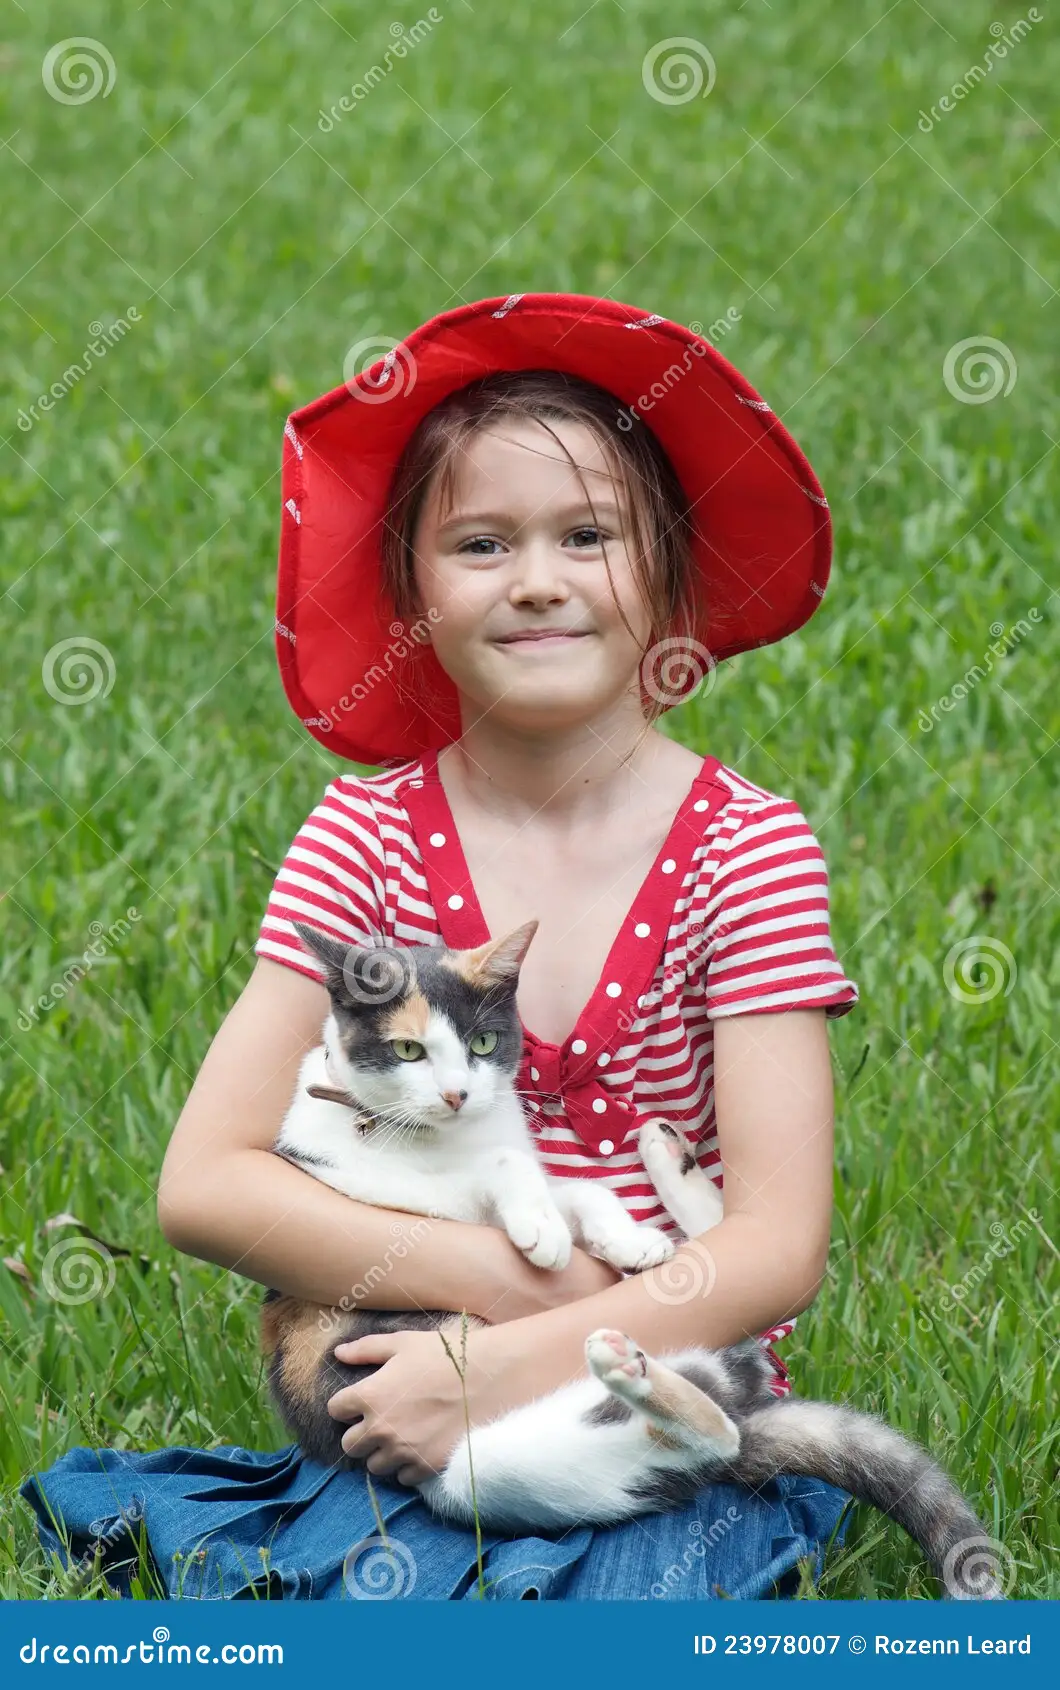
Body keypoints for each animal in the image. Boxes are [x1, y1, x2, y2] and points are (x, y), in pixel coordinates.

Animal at [262, 926, 1007, 1595]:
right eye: (408, 1050)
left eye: (481, 1044)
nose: (456, 1095)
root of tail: (742, 1403)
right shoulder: (396, 1202)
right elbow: (502, 1169)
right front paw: (545, 1229)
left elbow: (576, 1187)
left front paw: (624, 1238)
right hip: (473, 1468)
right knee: (706, 1435)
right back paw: (631, 1364)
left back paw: (667, 1168)